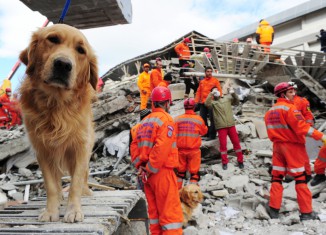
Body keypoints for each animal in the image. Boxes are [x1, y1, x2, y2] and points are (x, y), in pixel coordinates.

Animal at [18, 23, 98, 222]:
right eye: (52, 39)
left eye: (81, 50)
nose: (63, 64)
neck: (56, 105)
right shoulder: (43, 150)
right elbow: (51, 185)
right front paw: (51, 211)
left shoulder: (81, 148)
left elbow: (76, 182)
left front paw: (74, 210)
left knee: (84, 177)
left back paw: (86, 192)